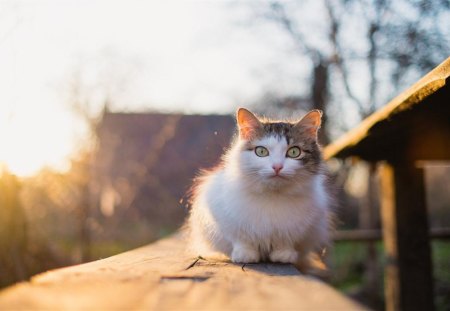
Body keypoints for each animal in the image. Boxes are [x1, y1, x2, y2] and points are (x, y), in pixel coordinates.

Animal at [186, 108, 334, 272]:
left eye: (294, 152)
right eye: (261, 152)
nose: (277, 167)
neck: (272, 196)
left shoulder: (295, 227)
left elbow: (285, 242)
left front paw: (283, 255)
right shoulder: (229, 219)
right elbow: (242, 239)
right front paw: (245, 255)